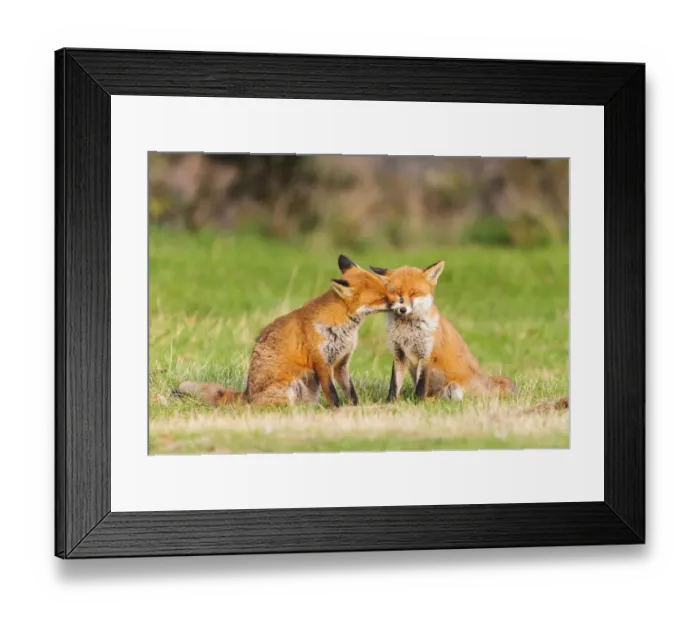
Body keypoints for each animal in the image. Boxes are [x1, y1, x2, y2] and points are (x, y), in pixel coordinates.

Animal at [175, 255, 395, 408]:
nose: (398, 301)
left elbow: (351, 392)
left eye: (387, 291)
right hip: (293, 384)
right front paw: (338, 411)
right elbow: (332, 394)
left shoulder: (341, 363)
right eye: (382, 298)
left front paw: (355, 409)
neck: (344, 328)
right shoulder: (322, 363)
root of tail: (247, 394)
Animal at [368, 260, 516, 402]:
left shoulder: (427, 355)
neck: (407, 331)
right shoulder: (399, 354)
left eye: (414, 293)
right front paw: (390, 402)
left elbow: (421, 386)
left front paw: (417, 402)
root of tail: (487, 382)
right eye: (396, 293)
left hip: (454, 389)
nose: (402, 309)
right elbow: (394, 385)